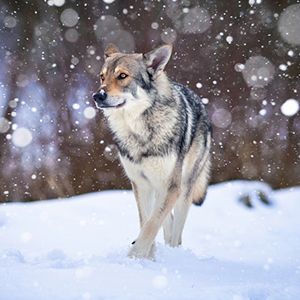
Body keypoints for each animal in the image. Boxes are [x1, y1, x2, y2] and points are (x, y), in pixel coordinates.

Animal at [92, 43, 212, 258]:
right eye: (102, 77)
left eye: (122, 76)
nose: (97, 96)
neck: (139, 131)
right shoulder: (140, 184)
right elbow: (146, 221)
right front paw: (147, 257)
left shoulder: (172, 187)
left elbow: (151, 225)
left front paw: (135, 257)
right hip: (157, 187)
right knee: (166, 221)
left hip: (183, 190)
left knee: (176, 233)